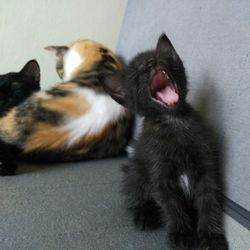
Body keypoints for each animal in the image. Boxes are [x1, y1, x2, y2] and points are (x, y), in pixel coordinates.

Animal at [101, 34, 229, 249]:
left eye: (161, 58)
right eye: (136, 74)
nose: (151, 64)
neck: (174, 122)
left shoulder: (206, 167)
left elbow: (208, 201)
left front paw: (211, 237)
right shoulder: (160, 174)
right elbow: (172, 205)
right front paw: (182, 233)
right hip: (135, 170)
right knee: (135, 196)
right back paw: (144, 215)